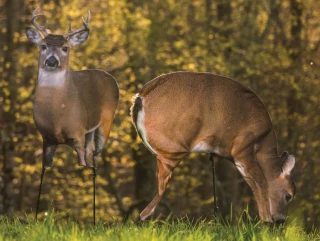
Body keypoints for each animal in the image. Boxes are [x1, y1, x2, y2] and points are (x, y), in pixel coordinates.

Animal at [26, 6, 119, 224]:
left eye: (65, 48)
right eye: (43, 46)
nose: (52, 61)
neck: (57, 116)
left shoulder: (77, 134)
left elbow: (82, 165)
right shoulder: (46, 138)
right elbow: (44, 171)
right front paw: (35, 219)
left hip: (106, 122)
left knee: (94, 162)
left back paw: (94, 220)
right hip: (89, 131)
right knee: (91, 157)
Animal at [131, 71, 296, 224]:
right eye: (289, 196)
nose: (281, 219)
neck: (263, 145)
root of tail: (140, 97)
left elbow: (252, 184)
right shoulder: (243, 148)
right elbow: (261, 183)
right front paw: (266, 220)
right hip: (173, 147)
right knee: (161, 186)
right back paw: (142, 217)